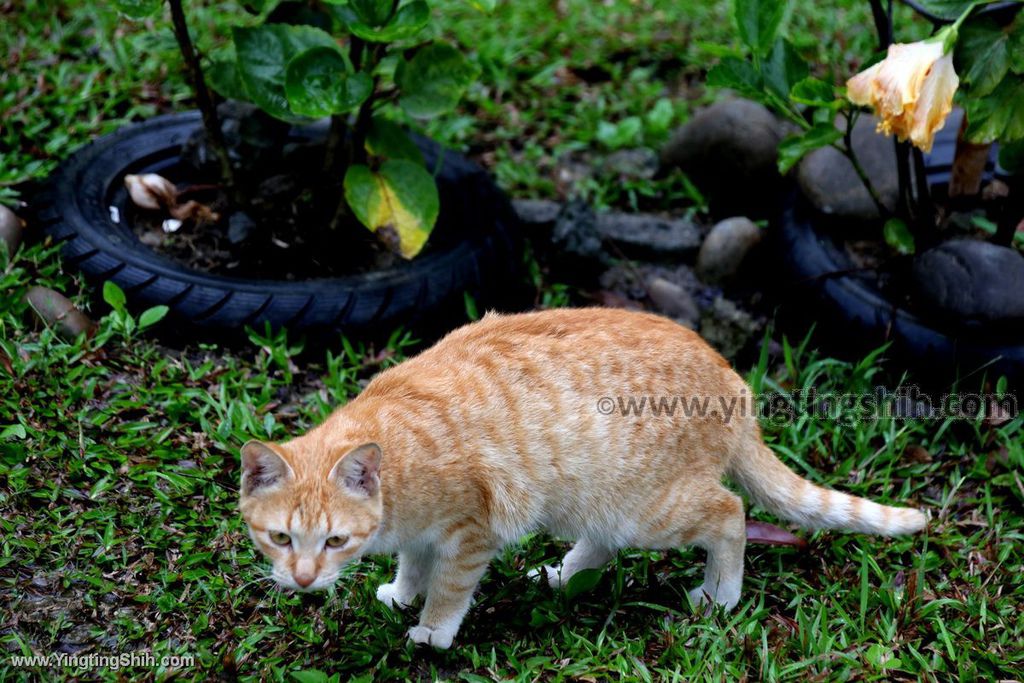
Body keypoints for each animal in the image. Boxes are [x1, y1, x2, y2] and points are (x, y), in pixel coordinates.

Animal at [241, 307, 929, 651]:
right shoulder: (422, 532)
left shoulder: (470, 531)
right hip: (593, 499)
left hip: (648, 507)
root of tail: (734, 383)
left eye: (333, 541)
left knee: (730, 513)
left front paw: (432, 630)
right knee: (602, 542)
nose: (303, 580)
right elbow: (414, 563)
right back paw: (564, 574)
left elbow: (449, 588)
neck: (395, 453)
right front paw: (401, 592)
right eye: (280, 539)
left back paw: (720, 594)